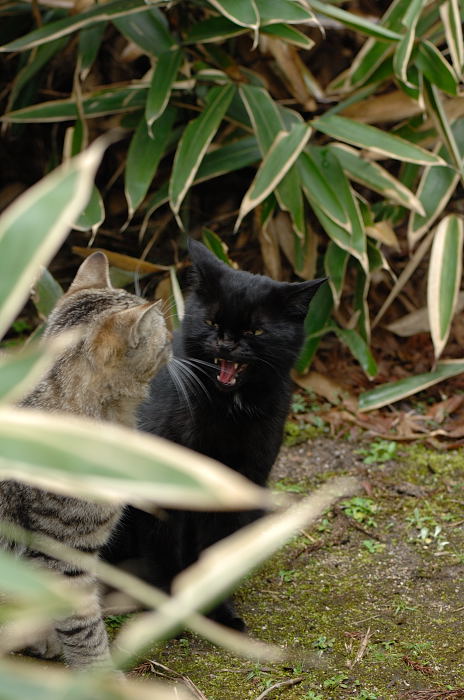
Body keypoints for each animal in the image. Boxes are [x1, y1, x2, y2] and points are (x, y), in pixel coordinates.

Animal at [0, 254, 170, 668]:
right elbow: (84, 630)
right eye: (162, 335)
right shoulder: (63, 555)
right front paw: (100, 675)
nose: (175, 341)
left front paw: (43, 640)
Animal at [104, 242, 326, 628]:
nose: (226, 343)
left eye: (255, 332)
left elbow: (217, 551)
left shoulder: (240, 481)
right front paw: (169, 610)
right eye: (210, 322)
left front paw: (220, 613)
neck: (228, 408)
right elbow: (163, 553)